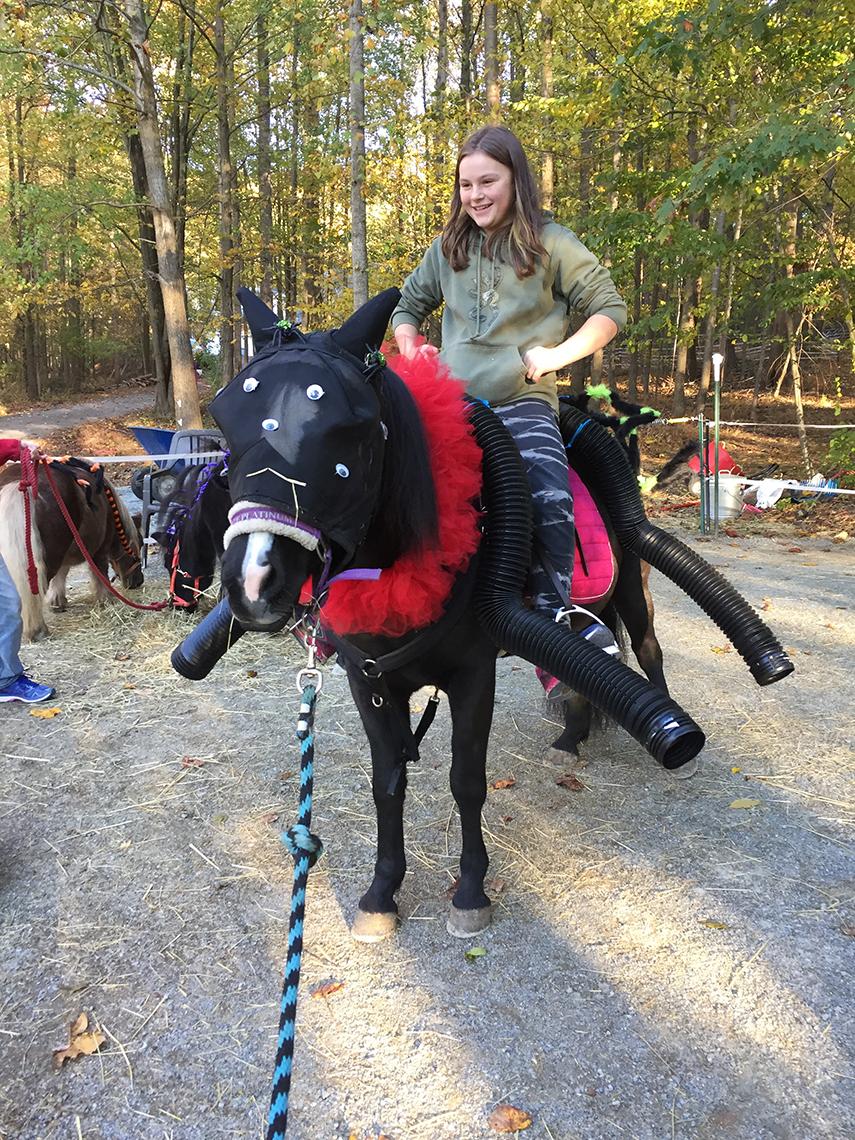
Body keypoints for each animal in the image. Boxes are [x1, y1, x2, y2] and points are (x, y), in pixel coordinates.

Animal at [0, 457, 144, 641]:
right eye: (140, 544)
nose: (138, 581)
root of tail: (18, 484)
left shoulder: (65, 555)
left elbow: (61, 575)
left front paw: (57, 602)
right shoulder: (99, 552)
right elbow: (100, 576)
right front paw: (107, 600)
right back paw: (37, 631)